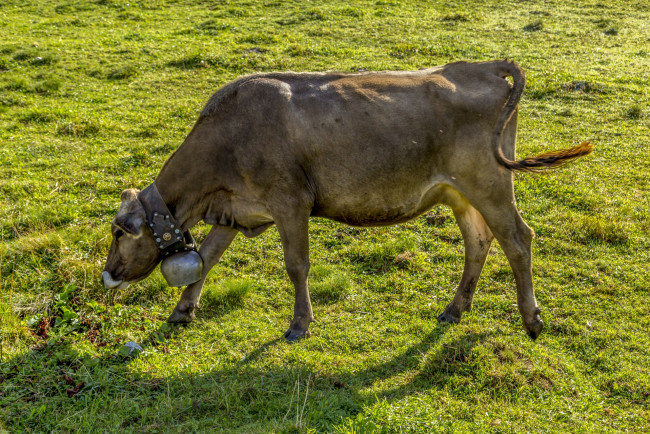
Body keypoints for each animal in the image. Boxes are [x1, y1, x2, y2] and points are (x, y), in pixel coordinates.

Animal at [102, 60, 592, 341]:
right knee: (479, 241)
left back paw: (531, 320)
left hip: (489, 182)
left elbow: (296, 265)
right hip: (460, 192)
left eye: (118, 232)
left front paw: (299, 324)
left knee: (518, 240)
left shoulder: (290, 201)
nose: (108, 274)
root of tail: (483, 65)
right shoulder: (235, 210)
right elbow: (206, 258)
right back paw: (455, 309)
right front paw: (182, 310)